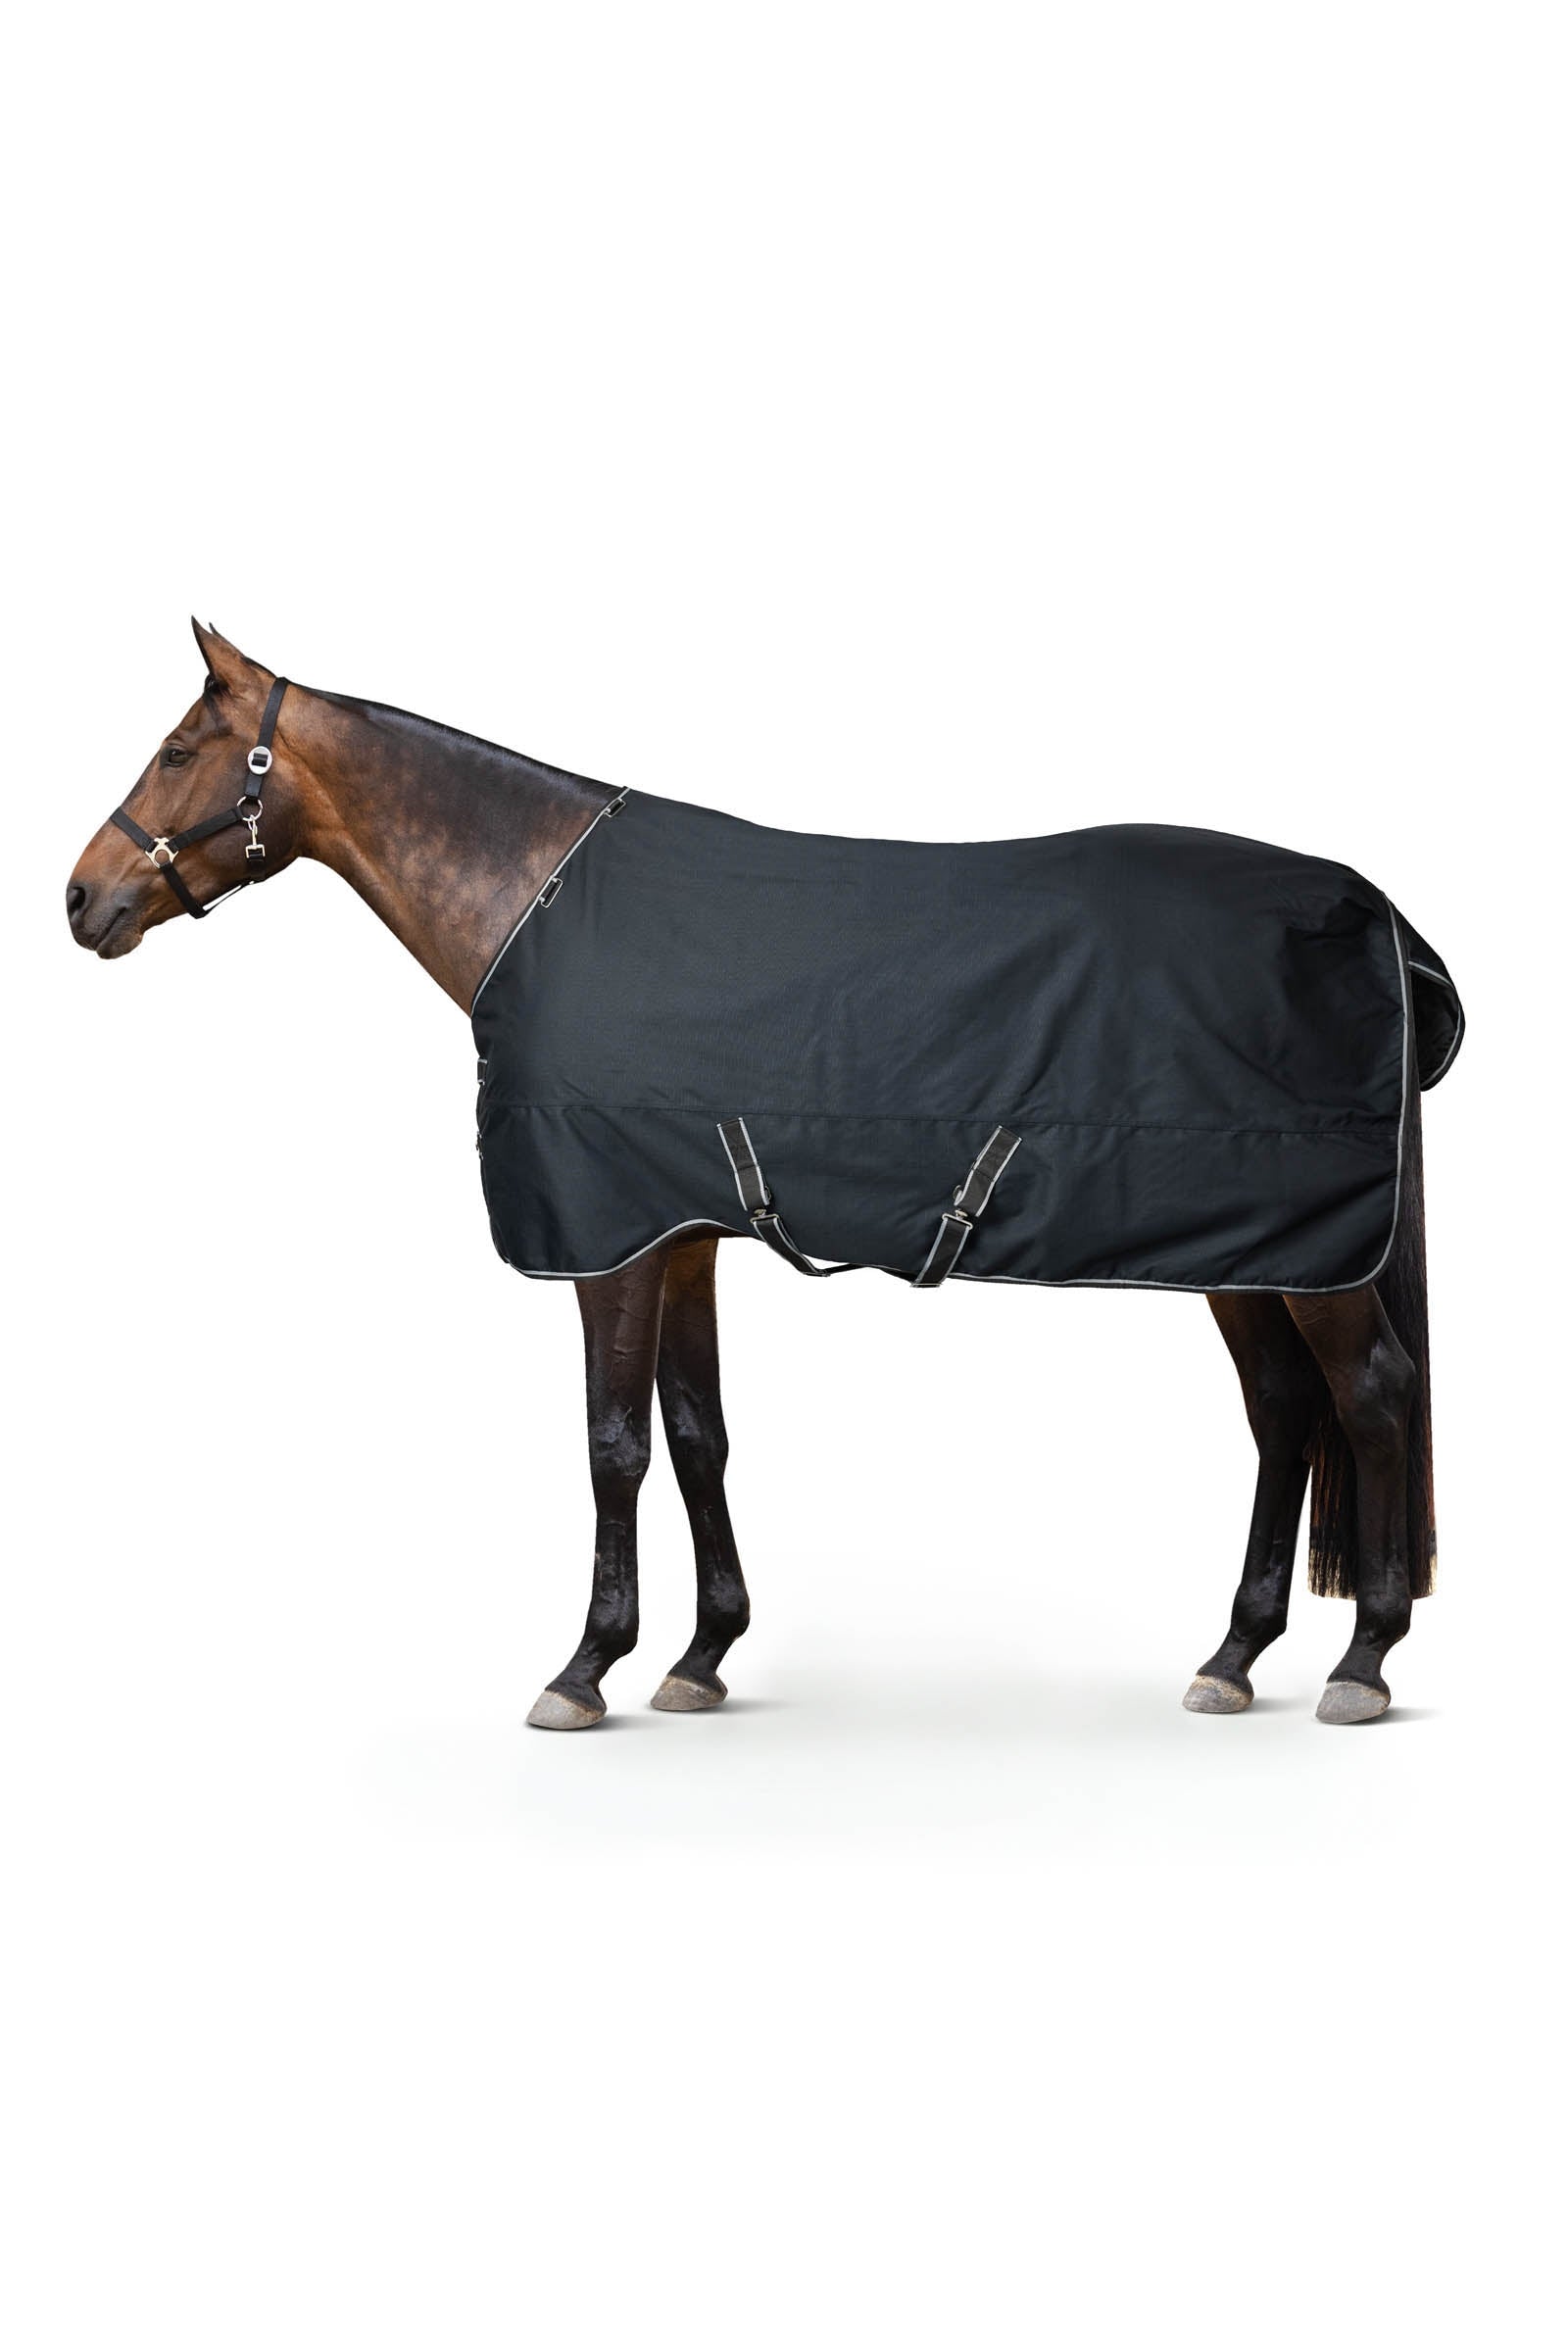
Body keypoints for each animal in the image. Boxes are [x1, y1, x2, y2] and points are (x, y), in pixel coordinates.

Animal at [66, 621, 1458, 1731]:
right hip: (1250, 1251)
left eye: (179, 753)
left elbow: (614, 1444)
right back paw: (1233, 1654)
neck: (538, 906)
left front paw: (585, 1668)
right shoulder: (678, 1235)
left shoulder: (608, 1242)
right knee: (1282, 1413)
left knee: (1371, 1397)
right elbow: (697, 1434)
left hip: (1309, 1257)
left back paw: (1365, 1660)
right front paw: (701, 1655)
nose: (82, 900)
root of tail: (1374, 912)